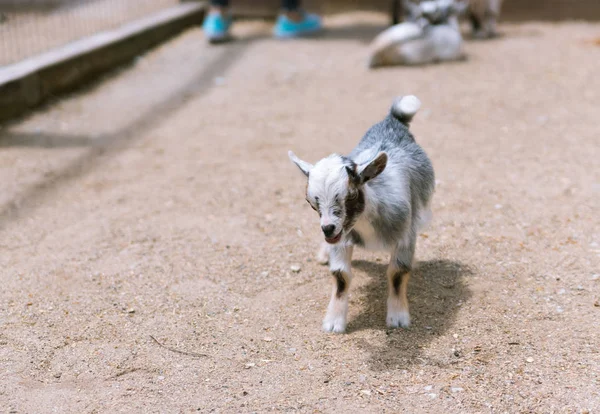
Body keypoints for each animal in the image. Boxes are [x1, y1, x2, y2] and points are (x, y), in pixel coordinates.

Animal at [288, 95, 434, 332]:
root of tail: (393, 120)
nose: (327, 228)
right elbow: (341, 276)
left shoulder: (405, 235)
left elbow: (398, 273)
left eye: (350, 195)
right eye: (311, 203)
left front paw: (398, 317)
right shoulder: (341, 239)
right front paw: (334, 322)